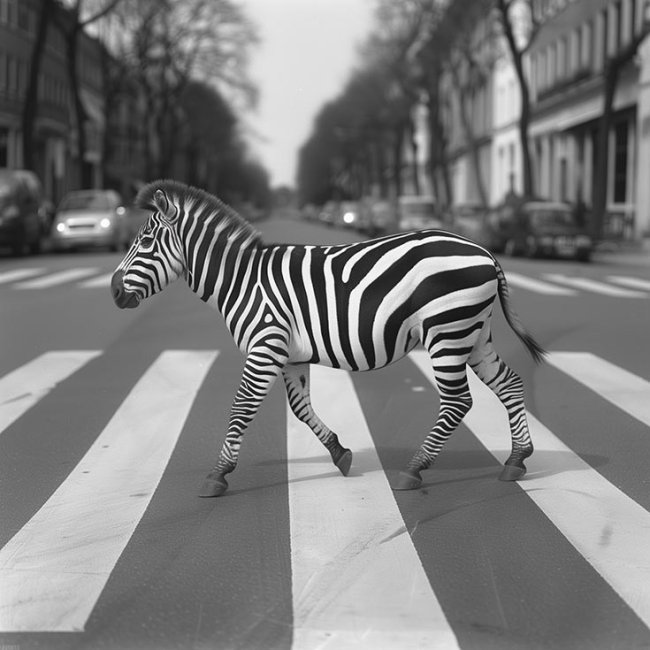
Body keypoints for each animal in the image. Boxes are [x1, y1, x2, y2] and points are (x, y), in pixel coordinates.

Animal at [111, 180, 545, 497]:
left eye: (145, 242)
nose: (114, 291)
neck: (242, 280)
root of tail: (485, 252)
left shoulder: (264, 346)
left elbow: (240, 408)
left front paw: (218, 474)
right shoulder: (289, 355)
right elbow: (301, 409)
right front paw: (340, 453)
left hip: (447, 331)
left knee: (458, 401)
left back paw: (415, 469)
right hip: (474, 334)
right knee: (509, 384)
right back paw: (517, 459)